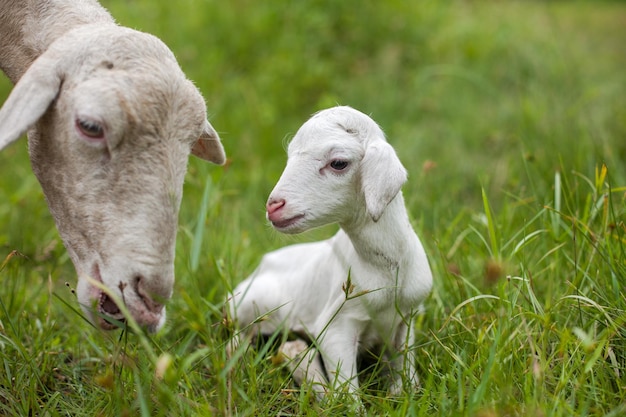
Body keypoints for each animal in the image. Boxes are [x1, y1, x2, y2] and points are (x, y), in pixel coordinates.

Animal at [227, 105, 432, 402]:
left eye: (338, 163)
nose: (273, 206)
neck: (385, 267)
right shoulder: (336, 327)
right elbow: (347, 395)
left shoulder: (408, 316)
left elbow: (406, 376)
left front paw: (402, 394)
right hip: (248, 307)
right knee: (236, 341)